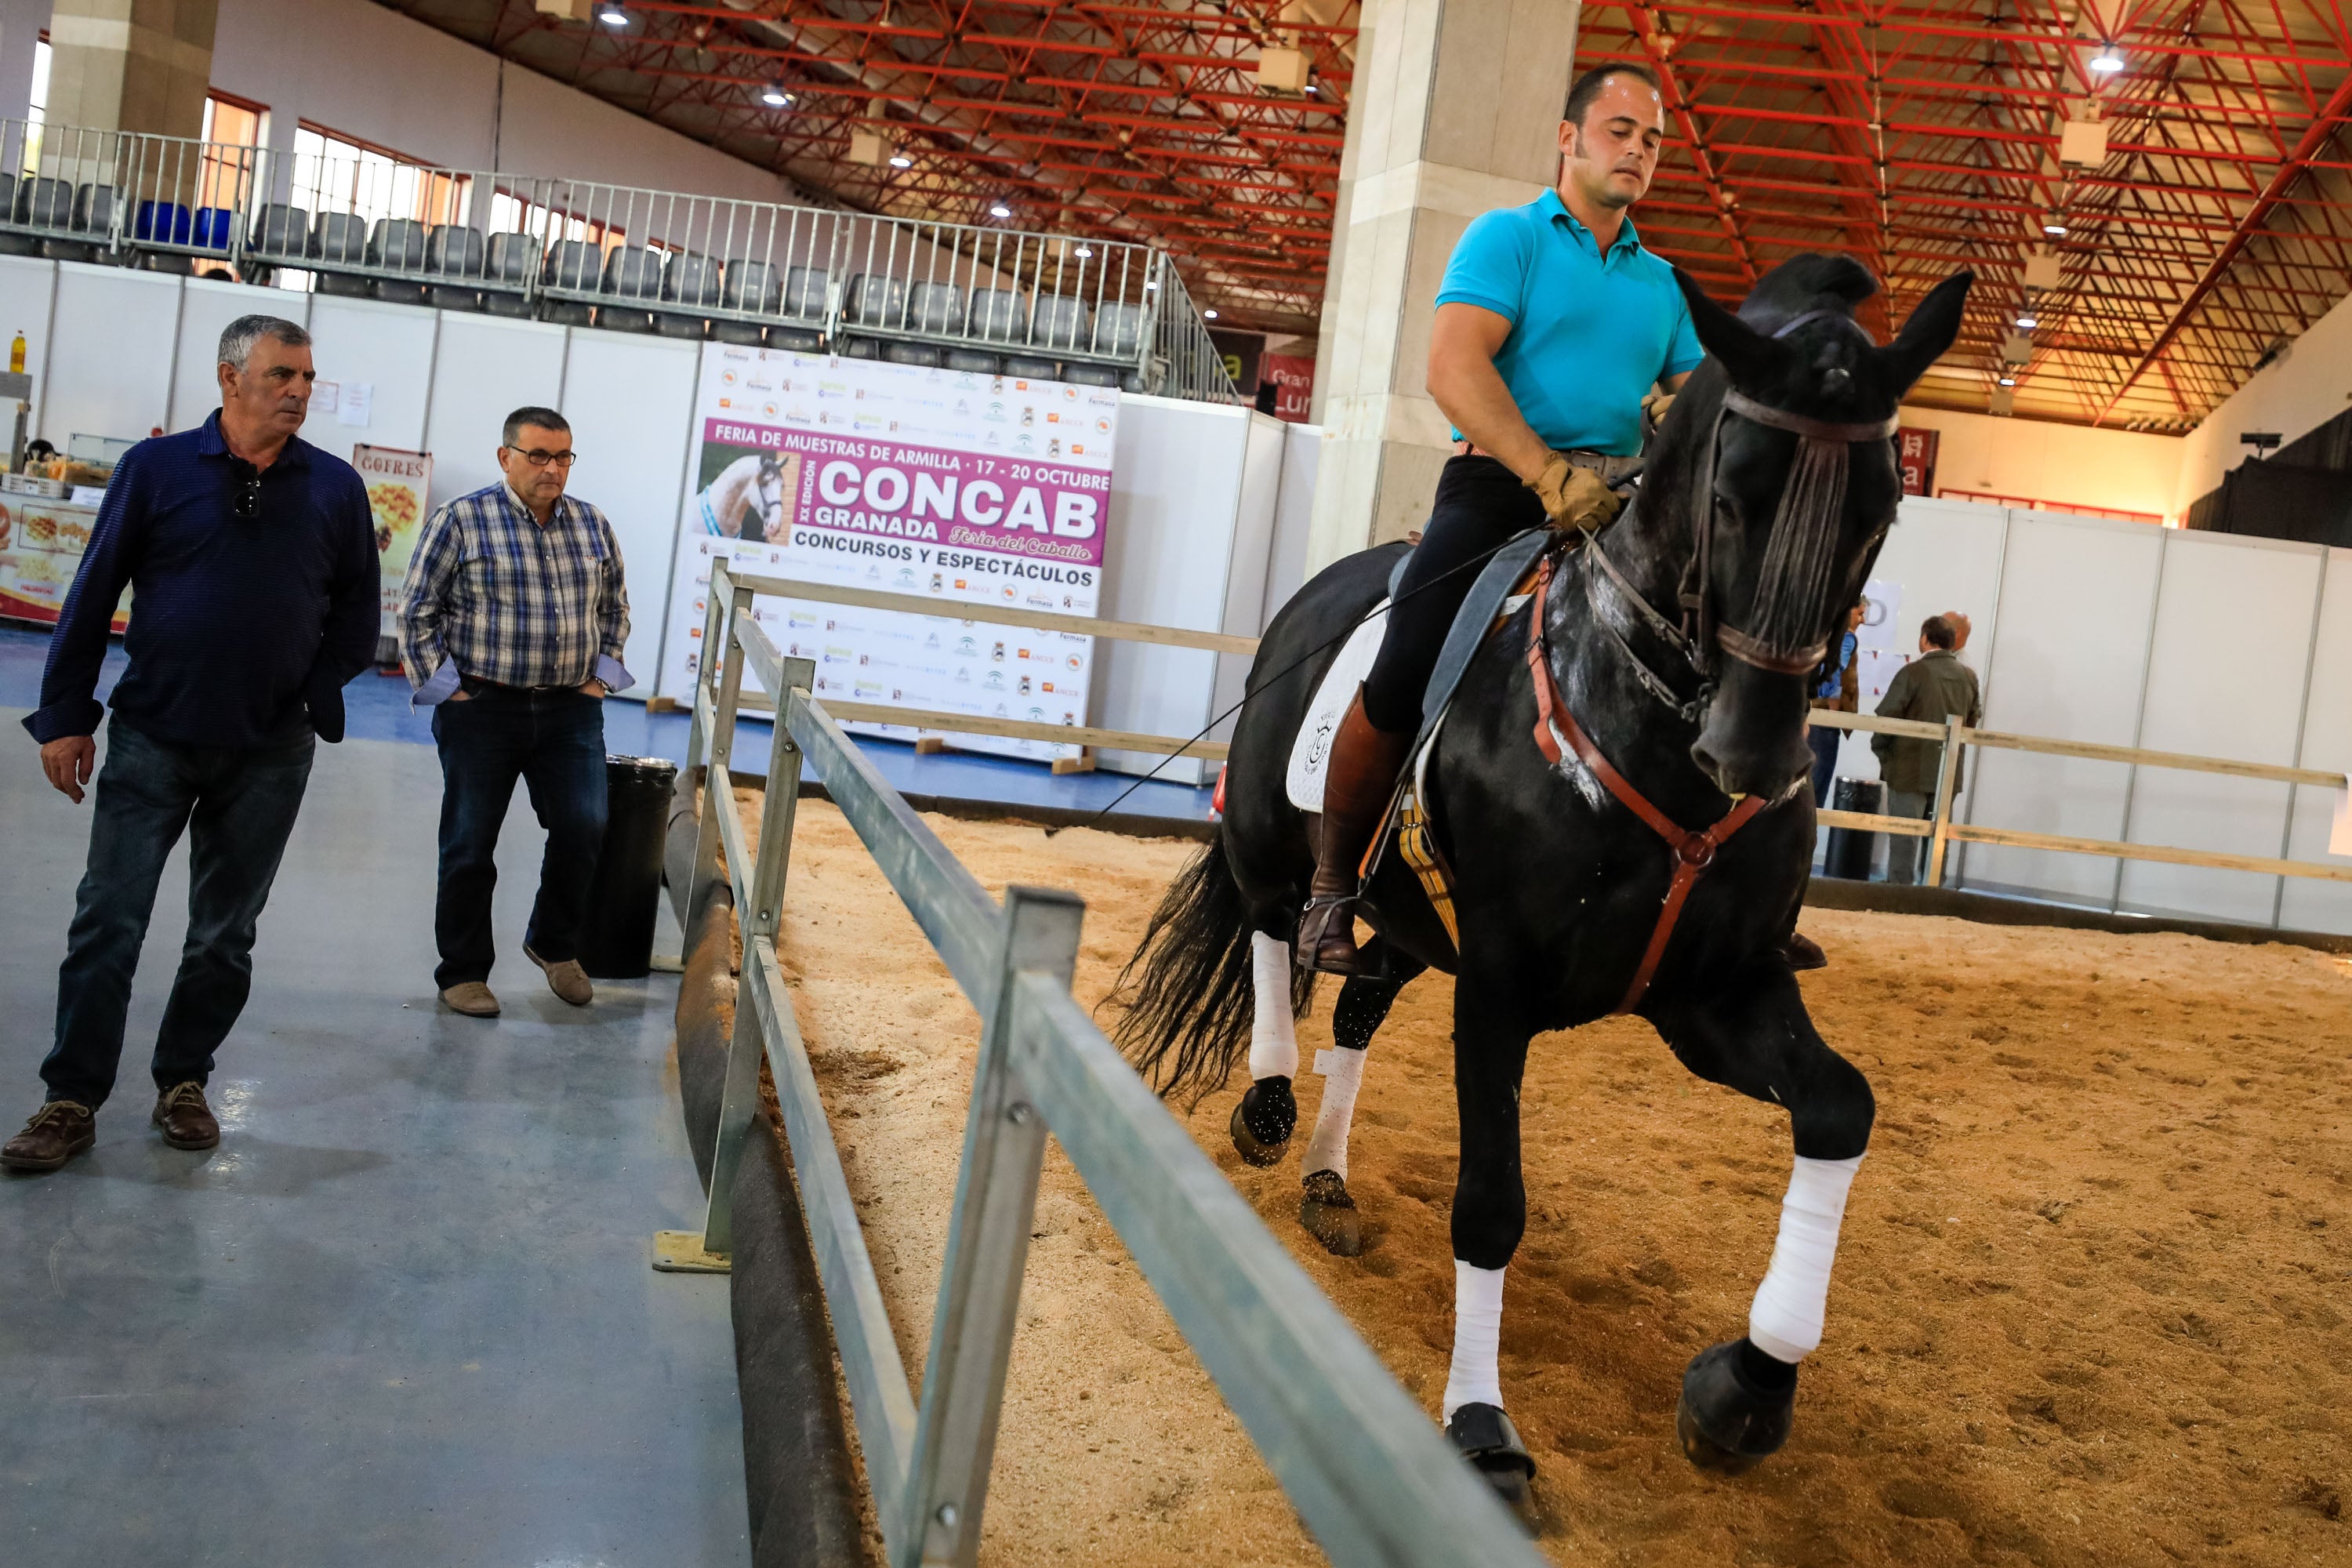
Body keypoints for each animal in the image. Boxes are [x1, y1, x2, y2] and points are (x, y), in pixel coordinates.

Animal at [1115, 255, 1966, 1495]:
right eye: (1729, 496)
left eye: (1882, 508)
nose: (1756, 753)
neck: (1645, 730)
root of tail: (1326, 589)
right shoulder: (1500, 990)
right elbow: (1489, 1207)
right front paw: (1481, 1424)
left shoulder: (1713, 994)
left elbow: (1840, 1107)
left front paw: (1747, 1387)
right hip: (1277, 846)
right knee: (1280, 934)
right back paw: (1270, 1105)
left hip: (1412, 927)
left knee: (1358, 1006)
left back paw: (1328, 1179)